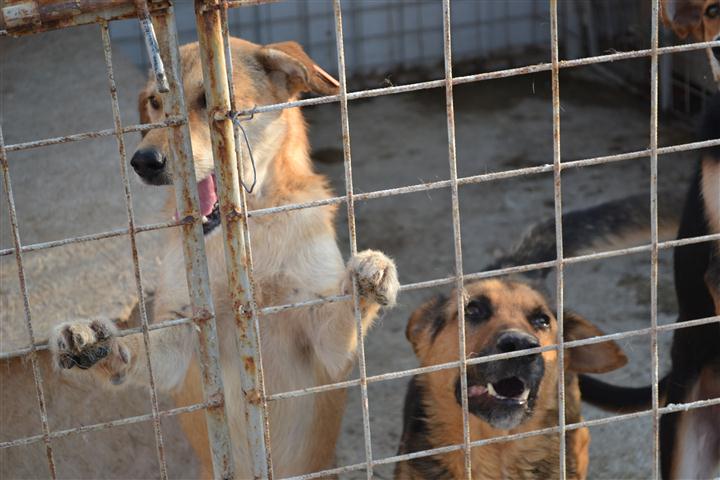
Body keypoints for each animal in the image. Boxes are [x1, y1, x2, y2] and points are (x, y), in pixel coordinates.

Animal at [46, 38, 400, 480]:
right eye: (155, 103)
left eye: (208, 102)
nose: (144, 161)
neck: (249, 234)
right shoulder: (181, 339)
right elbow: (140, 344)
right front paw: (95, 341)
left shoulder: (329, 349)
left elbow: (344, 309)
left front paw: (370, 276)